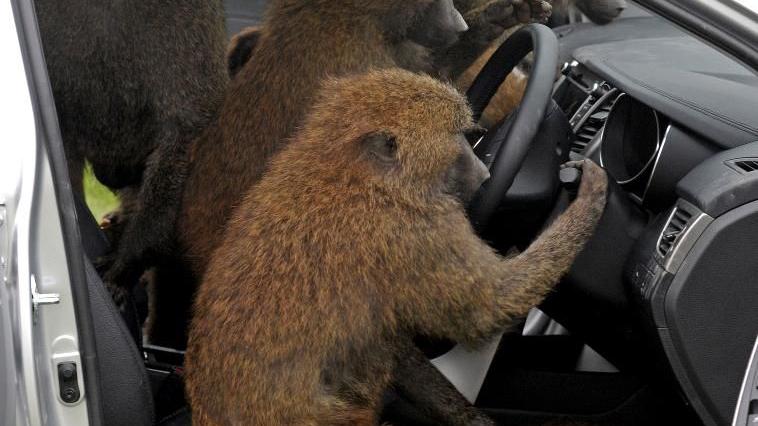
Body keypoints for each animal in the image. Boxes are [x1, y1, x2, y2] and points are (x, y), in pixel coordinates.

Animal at [185, 68, 608, 426]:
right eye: (458, 138)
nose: (486, 171)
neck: (352, 174)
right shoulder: (416, 233)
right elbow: (491, 306)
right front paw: (594, 193)